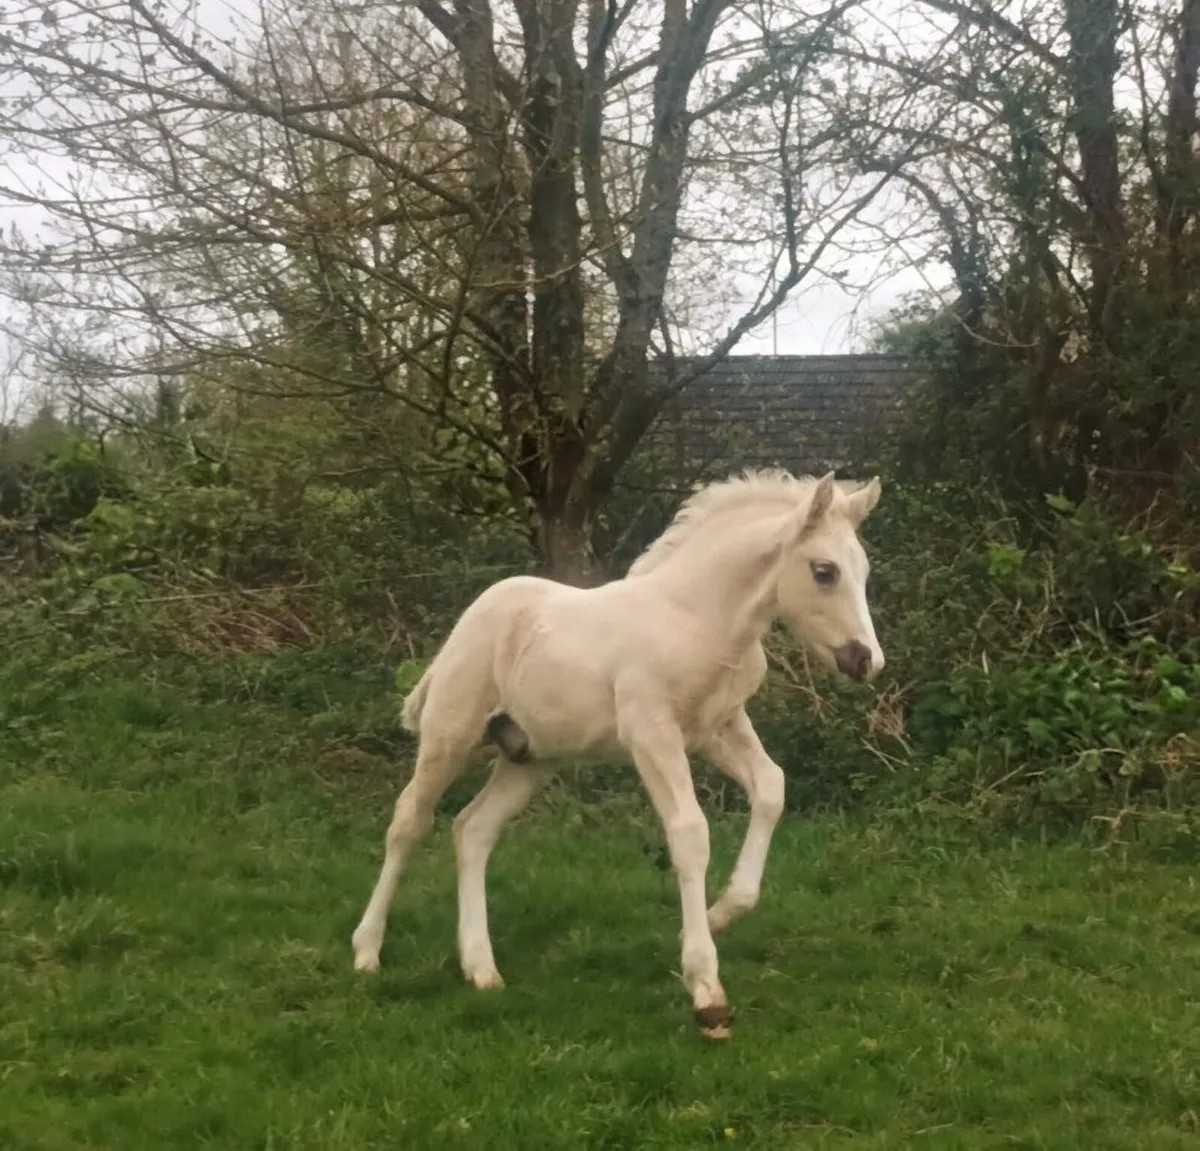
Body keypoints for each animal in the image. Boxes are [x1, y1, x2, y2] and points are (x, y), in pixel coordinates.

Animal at [350, 468, 885, 1039]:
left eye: (864, 570)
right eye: (824, 571)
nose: (866, 661)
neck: (697, 618)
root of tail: (471, 618)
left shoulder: (719, 727)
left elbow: (771, 787)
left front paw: (715, 917)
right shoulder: (651, 732)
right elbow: (690, 833)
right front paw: (706, 992)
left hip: (529, 757)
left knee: (472, 830)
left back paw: (481, 968)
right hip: (451, 733)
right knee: (410, 821)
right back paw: (367, 952)